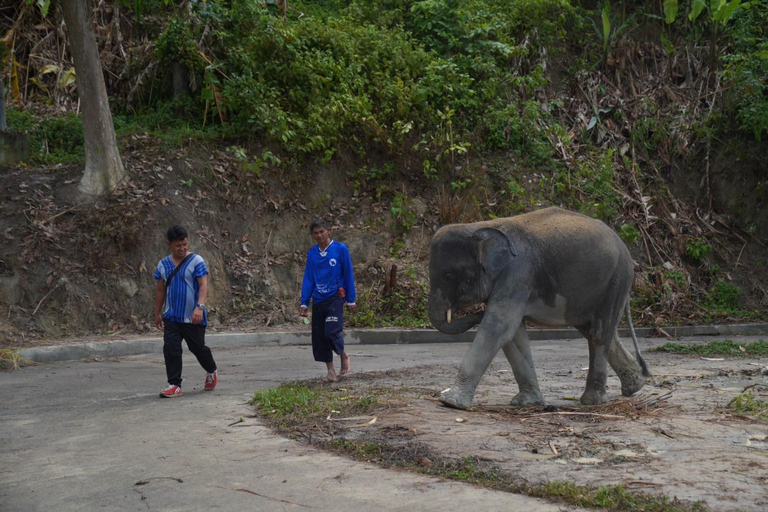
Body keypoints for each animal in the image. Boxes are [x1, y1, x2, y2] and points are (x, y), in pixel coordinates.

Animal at [428, 207, 650, 409]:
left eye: (448, 276)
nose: (478, 311)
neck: (479, 227)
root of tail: (623, 244)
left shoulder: (518, 273)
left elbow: (500, 326)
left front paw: (450, 402)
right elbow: (513, 334)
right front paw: (526, 402)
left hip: (616, 280)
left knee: (600, 332)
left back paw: (593, 401)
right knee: (594, 330)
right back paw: (635, 385)